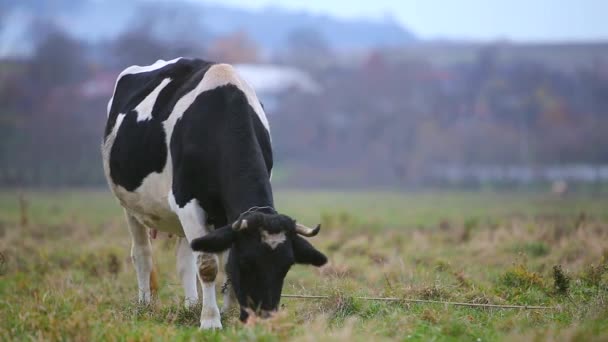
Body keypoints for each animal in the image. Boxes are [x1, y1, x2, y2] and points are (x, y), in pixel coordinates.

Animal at [102, 58, 328, 328]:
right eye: (247, 262)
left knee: (184, 261)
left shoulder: (227, 217)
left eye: (286, 266)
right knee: (142, 254)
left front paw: (228, 312)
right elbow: (208, 265)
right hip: (131, 206)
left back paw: (191, 305)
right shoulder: (187, 202)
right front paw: (210, 321)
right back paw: (145, 305)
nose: (264, 318)